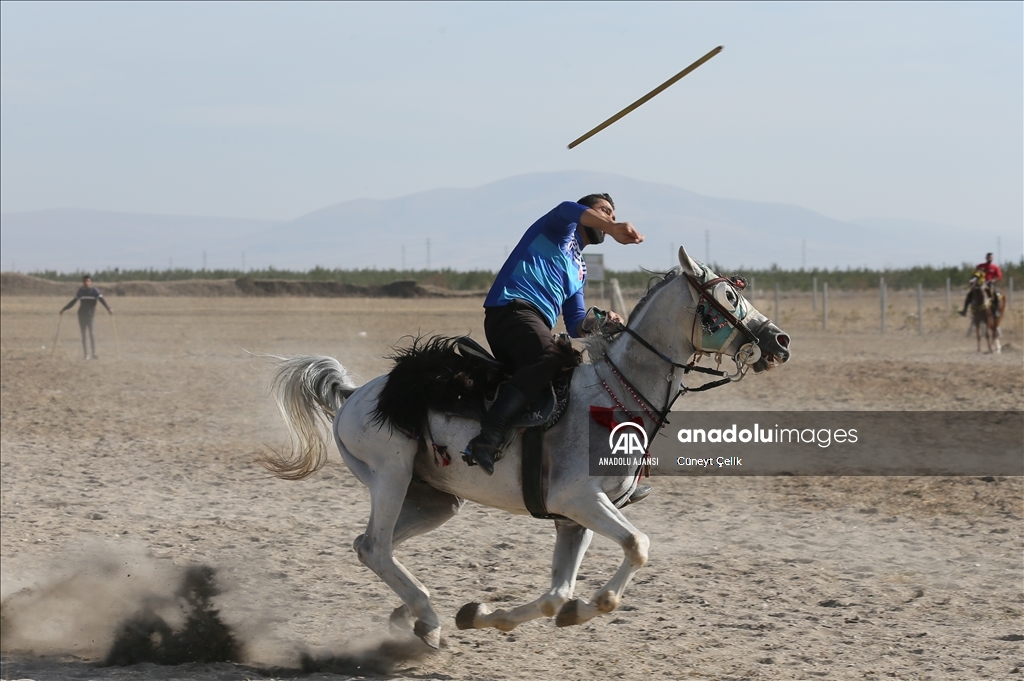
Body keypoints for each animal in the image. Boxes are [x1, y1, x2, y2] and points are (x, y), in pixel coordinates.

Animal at [258, 248, 790, 647]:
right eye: (728, 295)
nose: (780, 340)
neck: (613, 396)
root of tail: (355, 394)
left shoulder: (574, 519)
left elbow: (557, 593)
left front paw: (486, 613)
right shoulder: (580, 499)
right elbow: (637, 546)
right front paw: (591, 604)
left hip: (434, 500)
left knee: (373, 546)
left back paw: (410, 616)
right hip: (390, 475)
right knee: (374, 546)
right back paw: (428, 621)